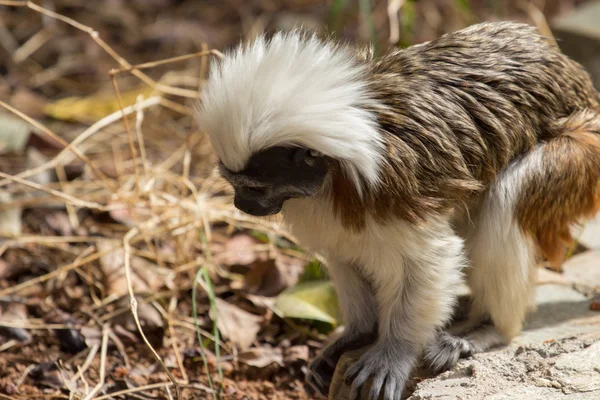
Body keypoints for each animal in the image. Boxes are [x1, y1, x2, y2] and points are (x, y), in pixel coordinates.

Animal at [196, 21, 600, 400]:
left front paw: (394, 352)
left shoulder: (396, 190)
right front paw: (357, 335)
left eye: (254, 188)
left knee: (507, 197)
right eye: (233, 184)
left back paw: (487, 328)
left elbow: (431, 261)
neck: (332, 174)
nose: (242, 204)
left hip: (580, 157)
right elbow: (345, 255)